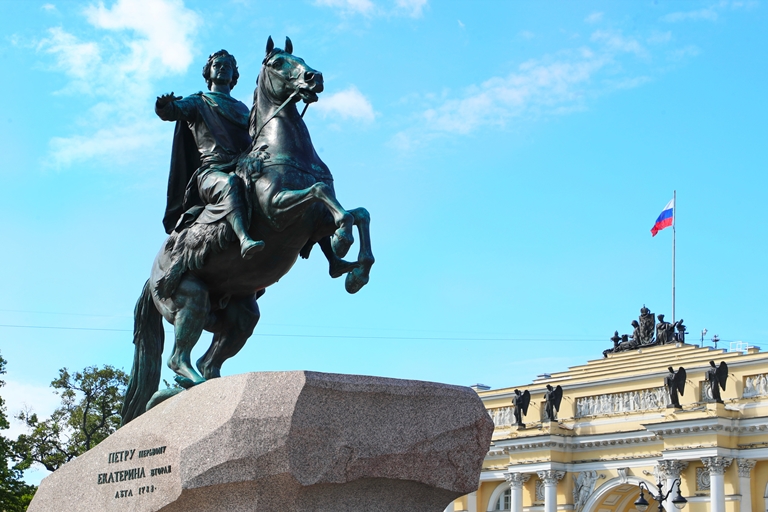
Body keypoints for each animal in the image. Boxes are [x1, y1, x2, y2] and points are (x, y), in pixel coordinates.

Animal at [123, 37, 376, 424]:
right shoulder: (279, 209)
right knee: (180, 359)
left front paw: (353, 269)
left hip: (241, 318)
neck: (282, 150)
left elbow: (357, 212)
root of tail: (151, 278)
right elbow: (324, 194)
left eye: (300, 58)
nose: (314, 77)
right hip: (190, 300)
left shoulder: (315, 219)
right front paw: (343, 242)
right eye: (277, 62)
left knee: (208, 363)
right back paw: (191, 386)